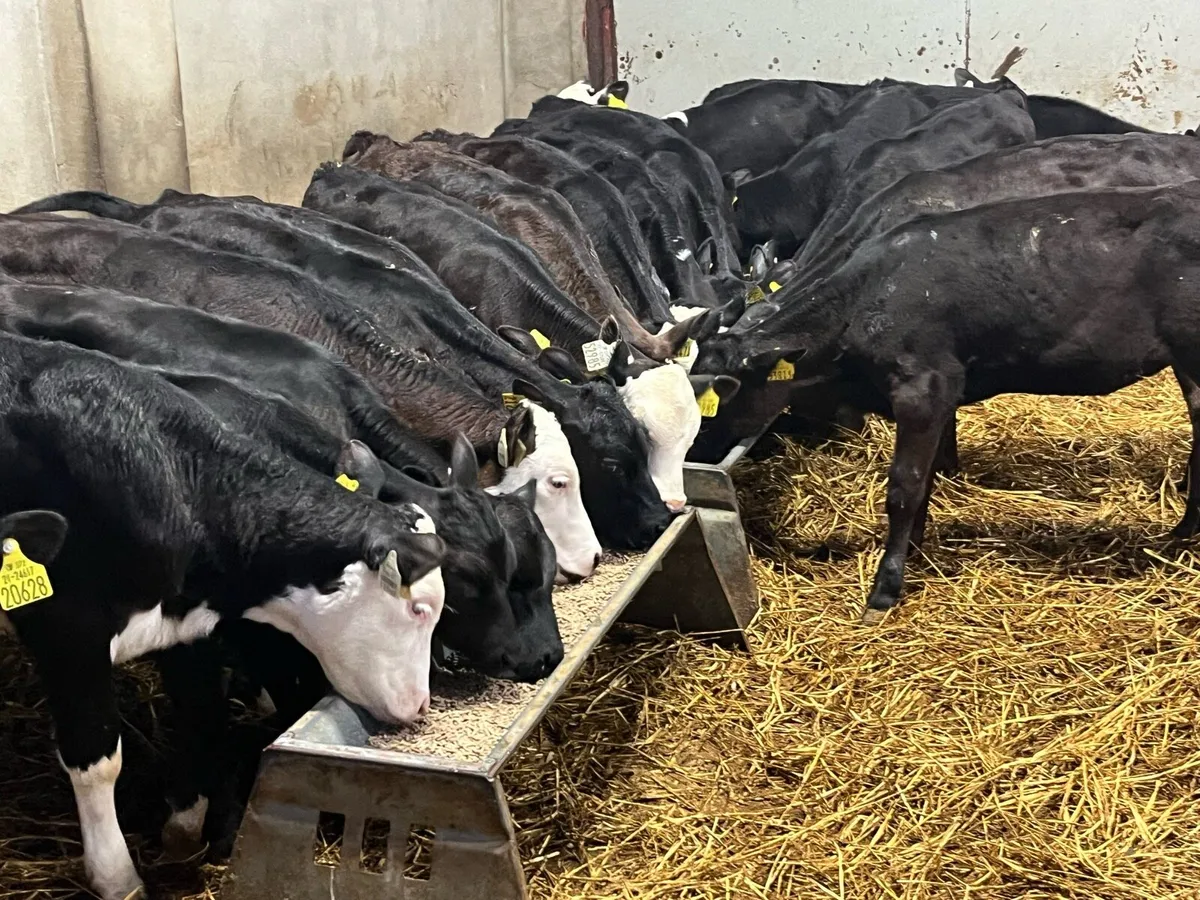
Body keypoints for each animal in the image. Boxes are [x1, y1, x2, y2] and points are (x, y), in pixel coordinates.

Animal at [0, 332, 446, 899]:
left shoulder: (182, 628)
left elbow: (203, 716)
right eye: (418, 608)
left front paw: (184, 829)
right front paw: (118, 876)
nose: (422, 706)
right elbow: (97, 757)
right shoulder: (68, 627)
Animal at [697, 181, 1200, 623]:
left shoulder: (924, 389)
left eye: (724, 391)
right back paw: (1183, 533)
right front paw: (914, 551)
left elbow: (905, 487)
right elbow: (925, 483)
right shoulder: (936, 400)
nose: (696, 454)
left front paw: (885, 589)